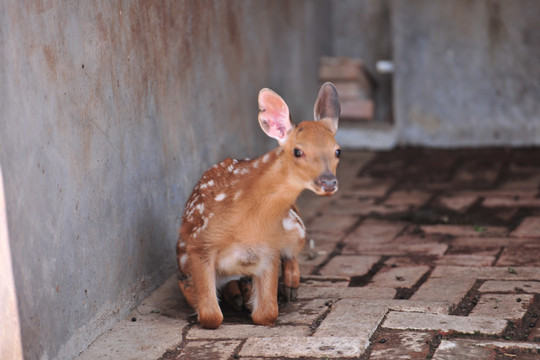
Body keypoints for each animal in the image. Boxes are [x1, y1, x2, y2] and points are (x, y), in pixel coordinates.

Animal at [177, 82, 340, 330]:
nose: (329, 182)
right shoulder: (197, 244)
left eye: (338, 151)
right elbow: (211, 316)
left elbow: (268, 314)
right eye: (298, 151)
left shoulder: (270, 249)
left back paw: (286, 286)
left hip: (295, 226)